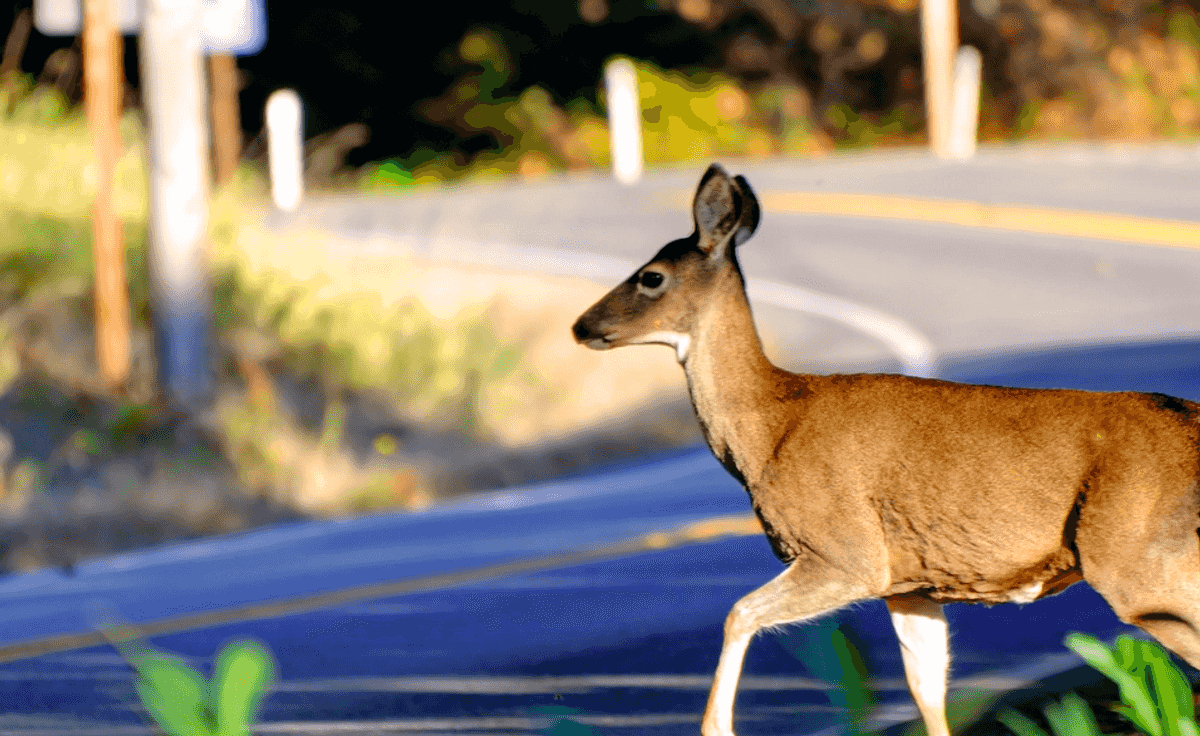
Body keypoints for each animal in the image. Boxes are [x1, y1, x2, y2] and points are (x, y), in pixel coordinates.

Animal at [571, 163, 1200, 736]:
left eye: (650, 277)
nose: (581, 325)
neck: (772, 423)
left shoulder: (846, 551)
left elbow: (738, 613)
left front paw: (716, 727)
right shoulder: (913, 582)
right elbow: (927, 692)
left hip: (1140, 563)